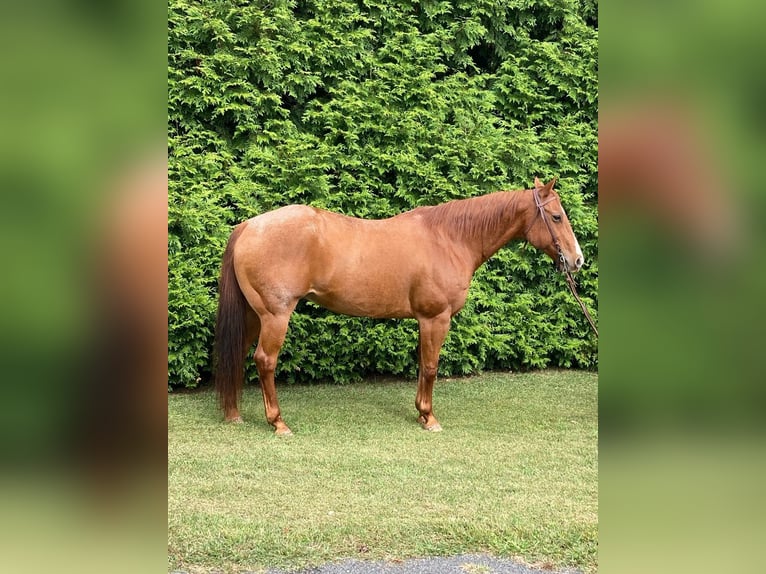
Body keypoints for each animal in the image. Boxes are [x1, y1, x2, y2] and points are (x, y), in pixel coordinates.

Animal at [214, 177, 584, 435]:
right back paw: (278, 423)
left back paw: (234, 414)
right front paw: (430, 418)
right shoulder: (436, 318)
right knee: (265, 361)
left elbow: (422, 365)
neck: (450, 238)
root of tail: (248, 226)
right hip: (275, 316)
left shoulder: (424, 320)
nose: (577, 260)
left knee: (239, 354)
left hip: (254, 316)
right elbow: (431, 367)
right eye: (556, 216)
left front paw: (421, 412)